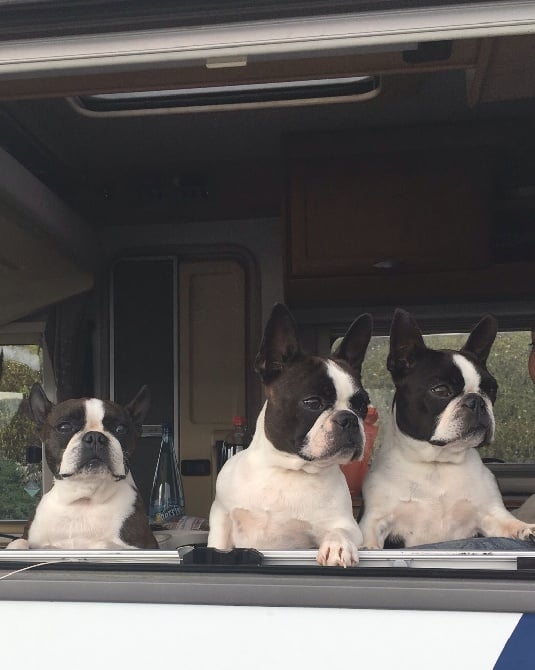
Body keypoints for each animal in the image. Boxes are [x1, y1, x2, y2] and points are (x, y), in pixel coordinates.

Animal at [7, 384, 157, 552]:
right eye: (64, 427)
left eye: (120, 429)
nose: (95, 437)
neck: (84, 498)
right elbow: (19, 542)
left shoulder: (144, 546)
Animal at [208, 304, 372, 568]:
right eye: (312, 402)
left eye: (362, 406)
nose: (349, 419)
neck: (287, 469)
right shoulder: (221, 517)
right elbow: (219, 544)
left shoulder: (345, 523)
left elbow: (341, 531)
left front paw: (337, 545)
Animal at [360, 310, 535, 552]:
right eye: (440, 390)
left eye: (491, 390)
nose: (477, 401)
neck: (437, 463)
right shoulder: (375, 519)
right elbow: (369, 541)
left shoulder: (490, 514)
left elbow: (509, 524)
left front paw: (526, 528)